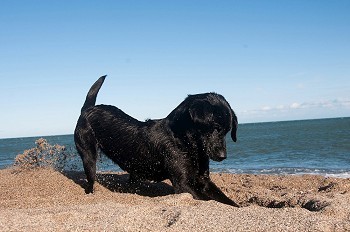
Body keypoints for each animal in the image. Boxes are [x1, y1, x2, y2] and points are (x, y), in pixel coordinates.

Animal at [73, 76, 238, 207]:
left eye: (227, 131)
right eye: (215, 128)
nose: (223, 156)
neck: (183, 140)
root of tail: (87, 109)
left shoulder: (203, 180)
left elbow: (226, 201)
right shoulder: (183, 184)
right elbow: (207, 200)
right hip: (88, 156)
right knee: (90, 181)